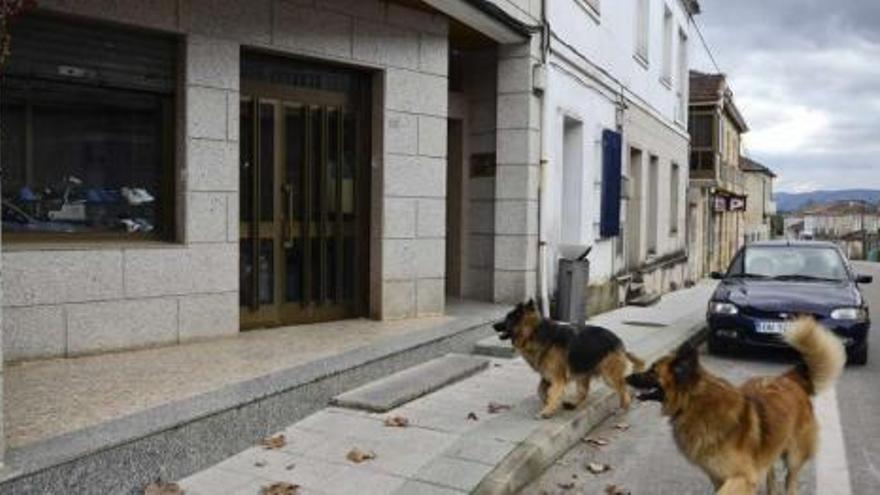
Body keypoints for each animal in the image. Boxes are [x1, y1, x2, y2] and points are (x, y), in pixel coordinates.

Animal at [492, 300, 644, 420]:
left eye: (508, 318)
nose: (493, 325)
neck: (535, 332)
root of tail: (619, 342)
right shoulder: (547, 375)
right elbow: (541, 390)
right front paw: (548, 402)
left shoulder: (557, 377)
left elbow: (552, 392)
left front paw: (547, 410)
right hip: (584, 373)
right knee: (583, 393)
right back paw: (573, 404)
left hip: (608, 375)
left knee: (623, 389)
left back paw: (623, 409)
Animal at [624, 320, 844, 494]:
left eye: (652, 371)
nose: (627, 377)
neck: (694, 402)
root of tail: (789, 378)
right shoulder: (719, 476)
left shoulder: (742, 476)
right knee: (771, 473)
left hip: (794, 456)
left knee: (791, 481)